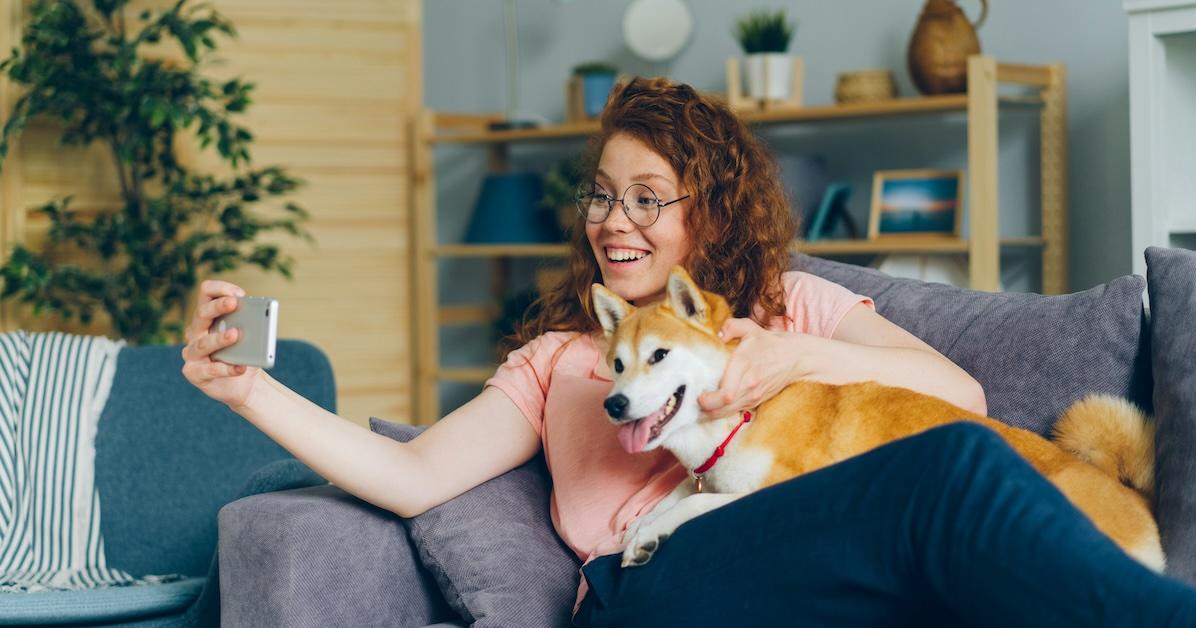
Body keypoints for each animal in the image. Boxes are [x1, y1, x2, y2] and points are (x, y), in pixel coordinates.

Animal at [593, 266, 1162, 569]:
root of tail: (1135, 497)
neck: (745, 418)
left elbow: (691, 506)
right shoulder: (707, 473)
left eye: (659, 355)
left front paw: (651, 531)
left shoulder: (775, 488)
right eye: (617, 364)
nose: (613, 405)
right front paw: (641, 528)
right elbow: (673, 497)